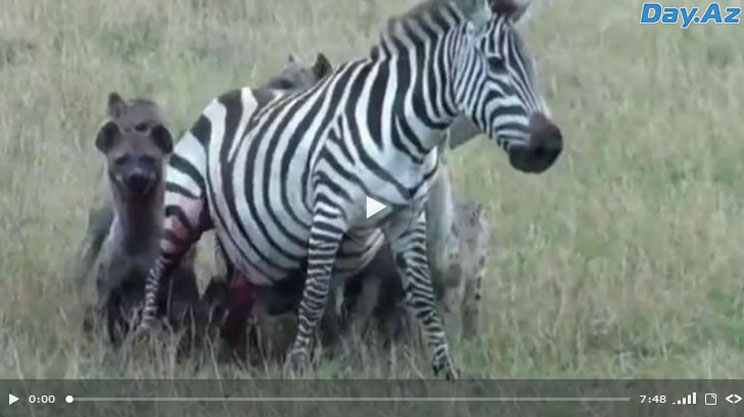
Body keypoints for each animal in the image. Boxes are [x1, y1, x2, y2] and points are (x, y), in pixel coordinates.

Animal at [140, 0, 560, 378]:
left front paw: (445, 369)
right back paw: (146, 339)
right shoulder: (330, 216)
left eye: (531, 66)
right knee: (161, 268)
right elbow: (315, 298)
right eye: (496, 64)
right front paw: (297, 367)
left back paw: (234, 345)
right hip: (187, 209)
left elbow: (418, 298)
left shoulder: (403, 225)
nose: (550, 146)